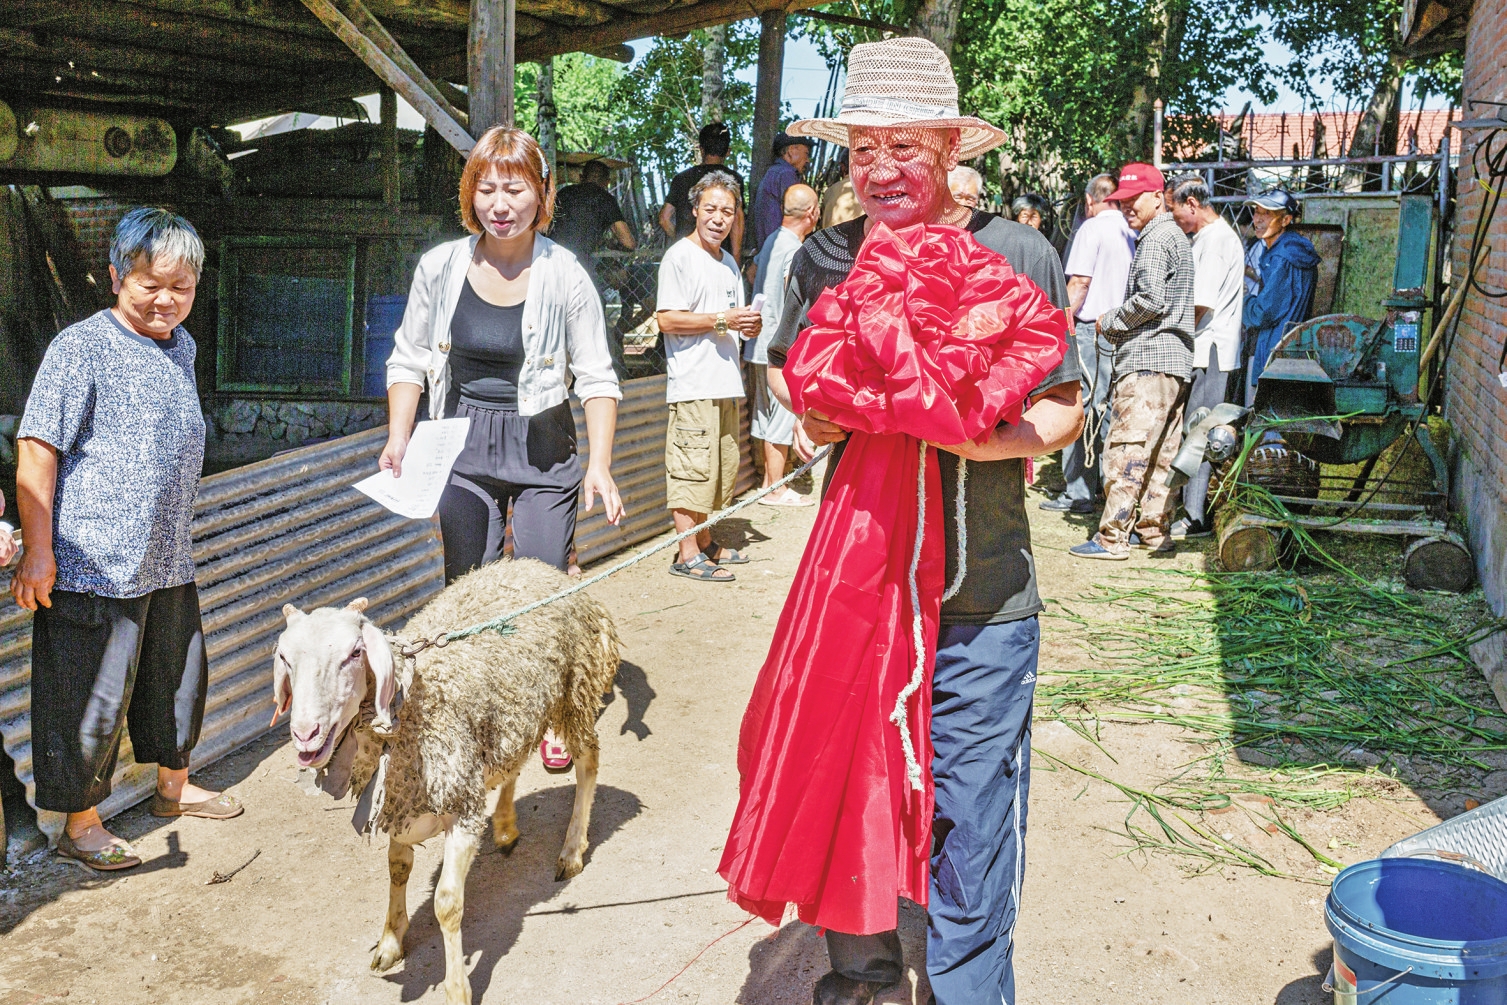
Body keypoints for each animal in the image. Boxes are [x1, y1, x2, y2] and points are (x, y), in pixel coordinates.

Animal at [274, 557, 620, 1005]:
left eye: (354, 653)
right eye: (285, 658)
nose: (306, 734)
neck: (410, 709)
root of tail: (536, 566)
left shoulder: (458, 808)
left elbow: (447, 905)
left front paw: (457, 987)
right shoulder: (402, 800)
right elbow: (398, 868)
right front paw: (390, 940)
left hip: (573, 691)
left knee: (588, 763)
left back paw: (572, 848)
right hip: (509, 716)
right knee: (513, 764)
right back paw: (504, 826)